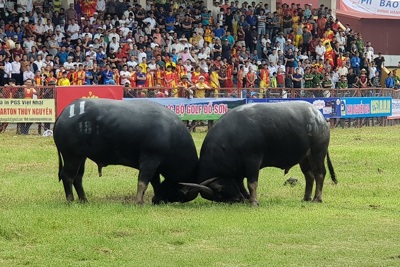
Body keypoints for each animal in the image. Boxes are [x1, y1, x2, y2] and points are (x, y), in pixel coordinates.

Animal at [54, 99, 198, 205]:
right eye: (180, 195)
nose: (157, 200)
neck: (171, 133)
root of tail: (63, 114)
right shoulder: (150, 160)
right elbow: (143, 182)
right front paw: (139, 202)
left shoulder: (155, 165)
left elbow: (155, 182)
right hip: (72, 156)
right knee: (67, 176)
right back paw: (70, 200)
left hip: (81, 156)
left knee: (78, 178)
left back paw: (84, 200)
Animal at [184, 101, 338, 206]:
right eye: (219, 197)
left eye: (220, 193)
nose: (236, 200)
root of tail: (320, 117)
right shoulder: (238, 169)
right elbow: (241, 184)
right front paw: (247, 198)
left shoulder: (252, 160)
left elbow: (252, 183)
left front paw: (253, 201)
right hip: (304, 157)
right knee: (309, 175)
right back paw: (306, 197)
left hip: (318, 153)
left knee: (319, 174)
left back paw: (317, 198)